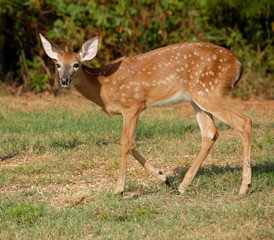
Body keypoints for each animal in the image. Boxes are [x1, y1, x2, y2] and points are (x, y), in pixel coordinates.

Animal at [39, 33, 253, 195]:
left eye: (76, 64)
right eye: (58, 64)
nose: (64, 80)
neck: (103, 86)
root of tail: (239, 64)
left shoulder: (132, 105)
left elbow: (124, 143)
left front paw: (119, 189)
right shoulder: (130, 111)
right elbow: (129, 143)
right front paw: (163, 176)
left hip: (209, 91)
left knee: (244, 121)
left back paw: (245, 186)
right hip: (197, 99)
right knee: (210, 133)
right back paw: (183, 185)